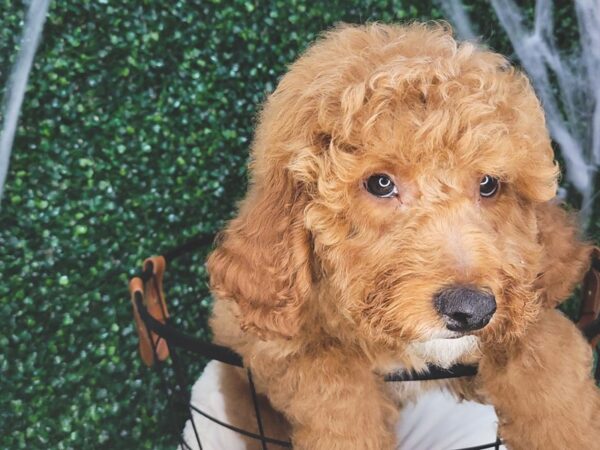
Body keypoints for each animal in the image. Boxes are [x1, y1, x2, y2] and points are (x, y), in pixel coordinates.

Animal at [206, 22, 600, 448]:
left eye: (489, 184)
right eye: (380, 183)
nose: (472, 310)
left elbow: (545, 349)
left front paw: (569, 427)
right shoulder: (263, 340)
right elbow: (329, 377)